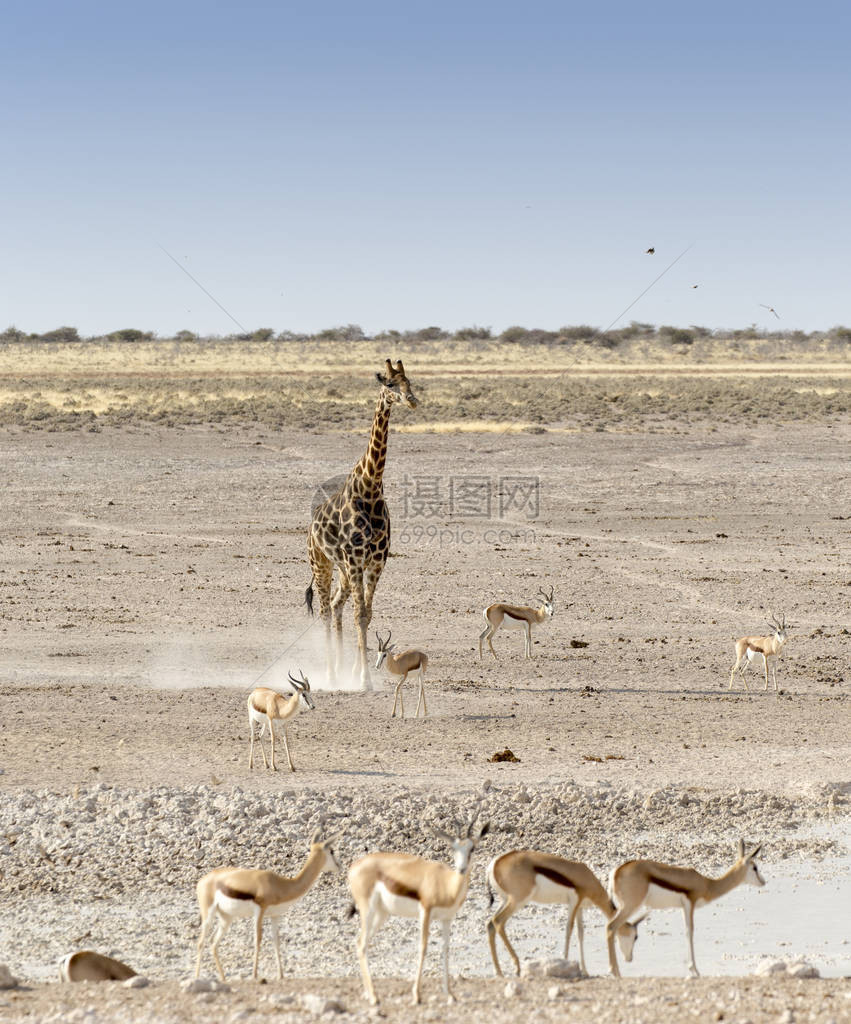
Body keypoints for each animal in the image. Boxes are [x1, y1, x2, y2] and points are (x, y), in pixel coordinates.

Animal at [305, 360, 417, 688]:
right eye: (390, 384)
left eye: (410, 381)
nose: (412, 401)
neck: (370, 487)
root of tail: (310, 529)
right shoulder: (356, 560)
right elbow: (359, 614)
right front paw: (364, 679)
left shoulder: (376, 562)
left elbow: (366, 613)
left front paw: (360, 673)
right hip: (322, 563)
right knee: (325, 610)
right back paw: (331, 674)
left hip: (342, 570)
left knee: (337, 605)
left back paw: (343, 669)